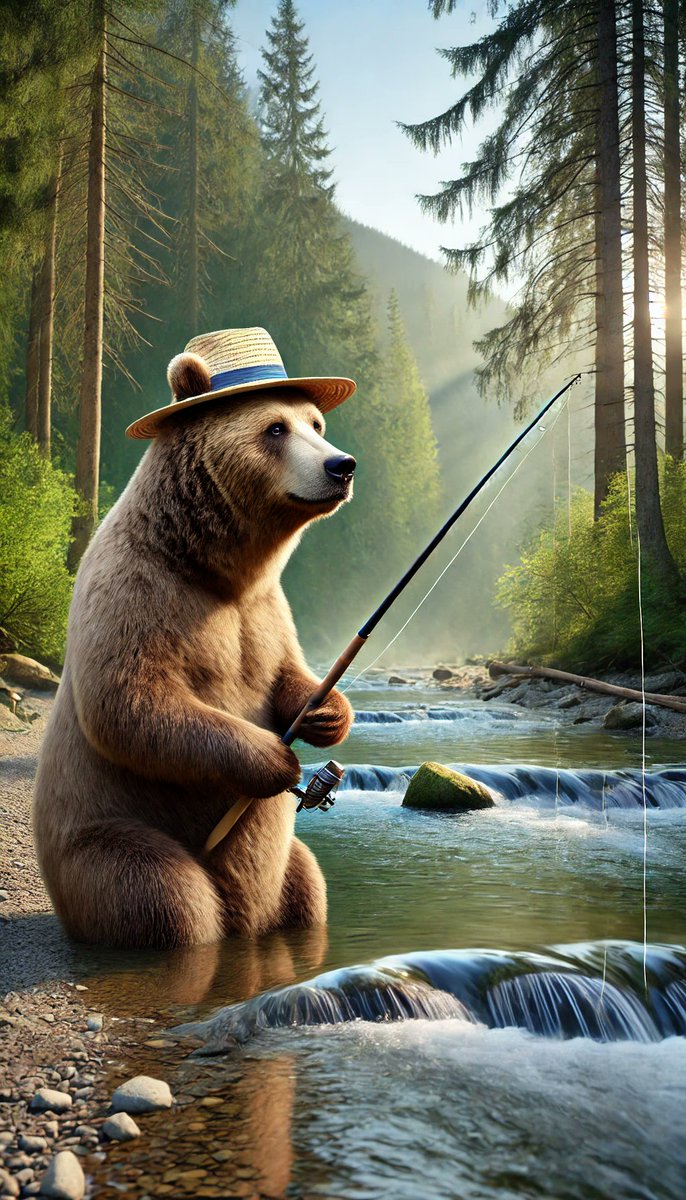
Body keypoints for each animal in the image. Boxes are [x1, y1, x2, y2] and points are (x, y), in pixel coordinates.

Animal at [32, 352, 356, 950]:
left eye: (317, 424)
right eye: (276, 428)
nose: (341, 466)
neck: (211, 567)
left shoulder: (267, 610)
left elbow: (285, 672)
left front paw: (324, 711)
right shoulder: (136, 589)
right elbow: (132, 704)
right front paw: (275, 757)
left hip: (291, 867)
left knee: (309, 888)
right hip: (110, 838)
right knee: (164, 896)